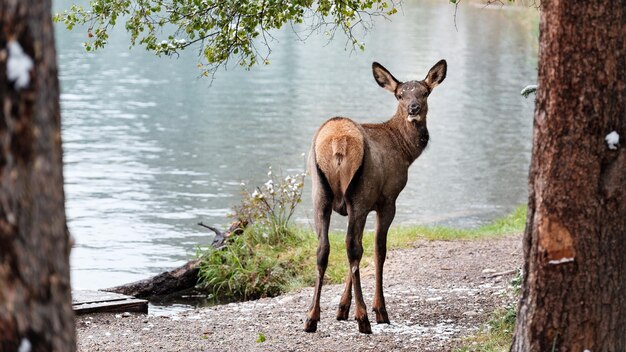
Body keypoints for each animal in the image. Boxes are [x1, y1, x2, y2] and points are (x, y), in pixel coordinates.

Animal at [302, 59, 444, 332]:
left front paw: (341, 309)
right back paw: (364, 317)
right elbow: (379, 249)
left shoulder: (365, 204)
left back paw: (311, 317)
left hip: (320, 193)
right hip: (359, 191)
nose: (413, 108)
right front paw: (379, 310)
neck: (405, 152)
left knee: (325, 247)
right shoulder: (387, 198)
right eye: (400, 95)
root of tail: (338, 142)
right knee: (352, 247)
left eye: (424, 92)